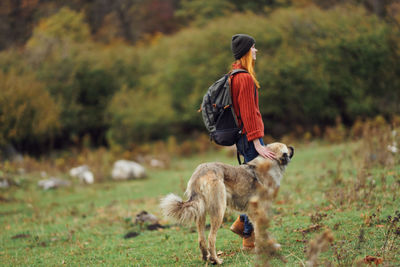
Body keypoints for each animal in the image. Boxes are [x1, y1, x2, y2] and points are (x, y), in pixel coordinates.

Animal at [159, 143, 294, 264]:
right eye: (285, 147)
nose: (292, 147)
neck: (270, 164)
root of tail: (200, 173)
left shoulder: (252, 212)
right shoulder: (261, 210)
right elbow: (262, 232)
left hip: (201, 212)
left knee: (201, 239)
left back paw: (206, 258)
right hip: (219, 211)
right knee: (211, 238)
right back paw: (216, 260)